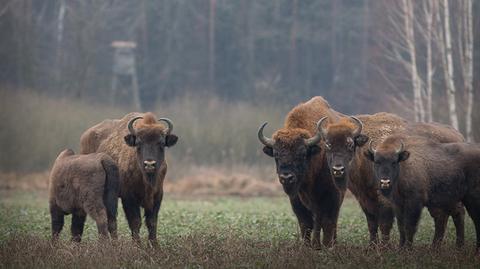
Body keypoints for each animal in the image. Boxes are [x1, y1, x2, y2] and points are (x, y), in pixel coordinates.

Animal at [80, 111, 178, 245]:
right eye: (139, 143)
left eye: (162, 143)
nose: (149, 164)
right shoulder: (129, 198)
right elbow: (135, 222)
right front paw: (137, 245)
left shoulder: (157, 196)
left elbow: (152, 222)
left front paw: (154, 245)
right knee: (110, 220)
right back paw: (114, 243)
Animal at [256, 96, 346, 247]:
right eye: (276, 155)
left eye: (302, 154)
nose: (286, 177)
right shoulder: (296, 200)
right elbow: (306, 223)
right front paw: (307, 246)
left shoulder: (332, 196)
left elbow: (328, 222)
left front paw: (327, 245)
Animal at [316, 113, 464, 245]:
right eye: (328, 145)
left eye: (350, 144)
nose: (338, 169)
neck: (364, 154)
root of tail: (458, 136)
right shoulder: (364, 198)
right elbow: (372, 224)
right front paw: (372, 246)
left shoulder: (384, 198)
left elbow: (384, 224)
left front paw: (385, 247)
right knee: (442, 216)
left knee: (456, 212)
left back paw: (458, 245)